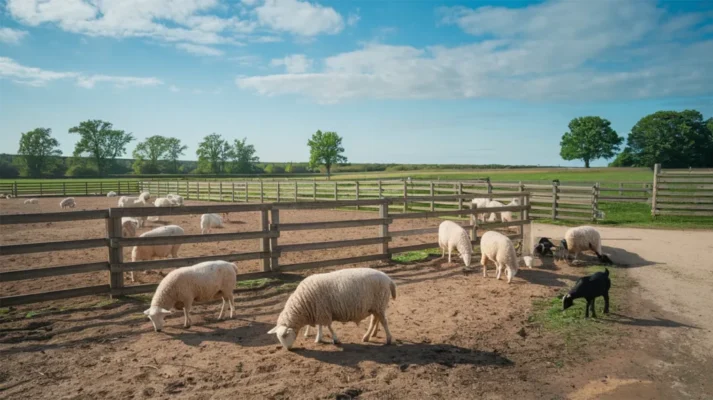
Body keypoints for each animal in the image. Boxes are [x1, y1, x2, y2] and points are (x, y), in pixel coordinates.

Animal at [268, 268, 398, 350]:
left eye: (284, 336)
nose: (288, 349)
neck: (303, 303)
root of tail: (388, 279)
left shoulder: (323, 311)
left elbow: (328, 326)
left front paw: (334, 339)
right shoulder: (319, 311)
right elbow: (321, 326)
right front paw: (319, 338)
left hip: (379, 303)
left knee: (384, 321)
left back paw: (388, 339)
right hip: (375, 306)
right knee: (375, 320)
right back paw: (367, 337)